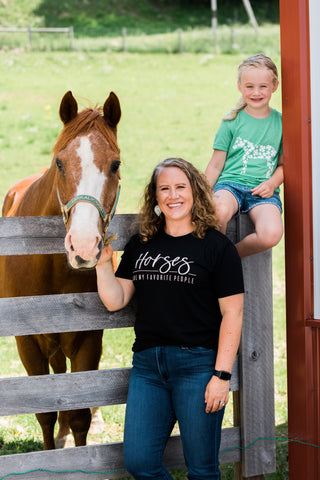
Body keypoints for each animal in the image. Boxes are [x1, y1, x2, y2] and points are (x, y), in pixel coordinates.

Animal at [0, 91, 121, 450]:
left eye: (115, 164)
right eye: (60, 163)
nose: (83, 245)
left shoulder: (87, 339)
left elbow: (80, 412)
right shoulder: (26, 342)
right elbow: (44, 412)